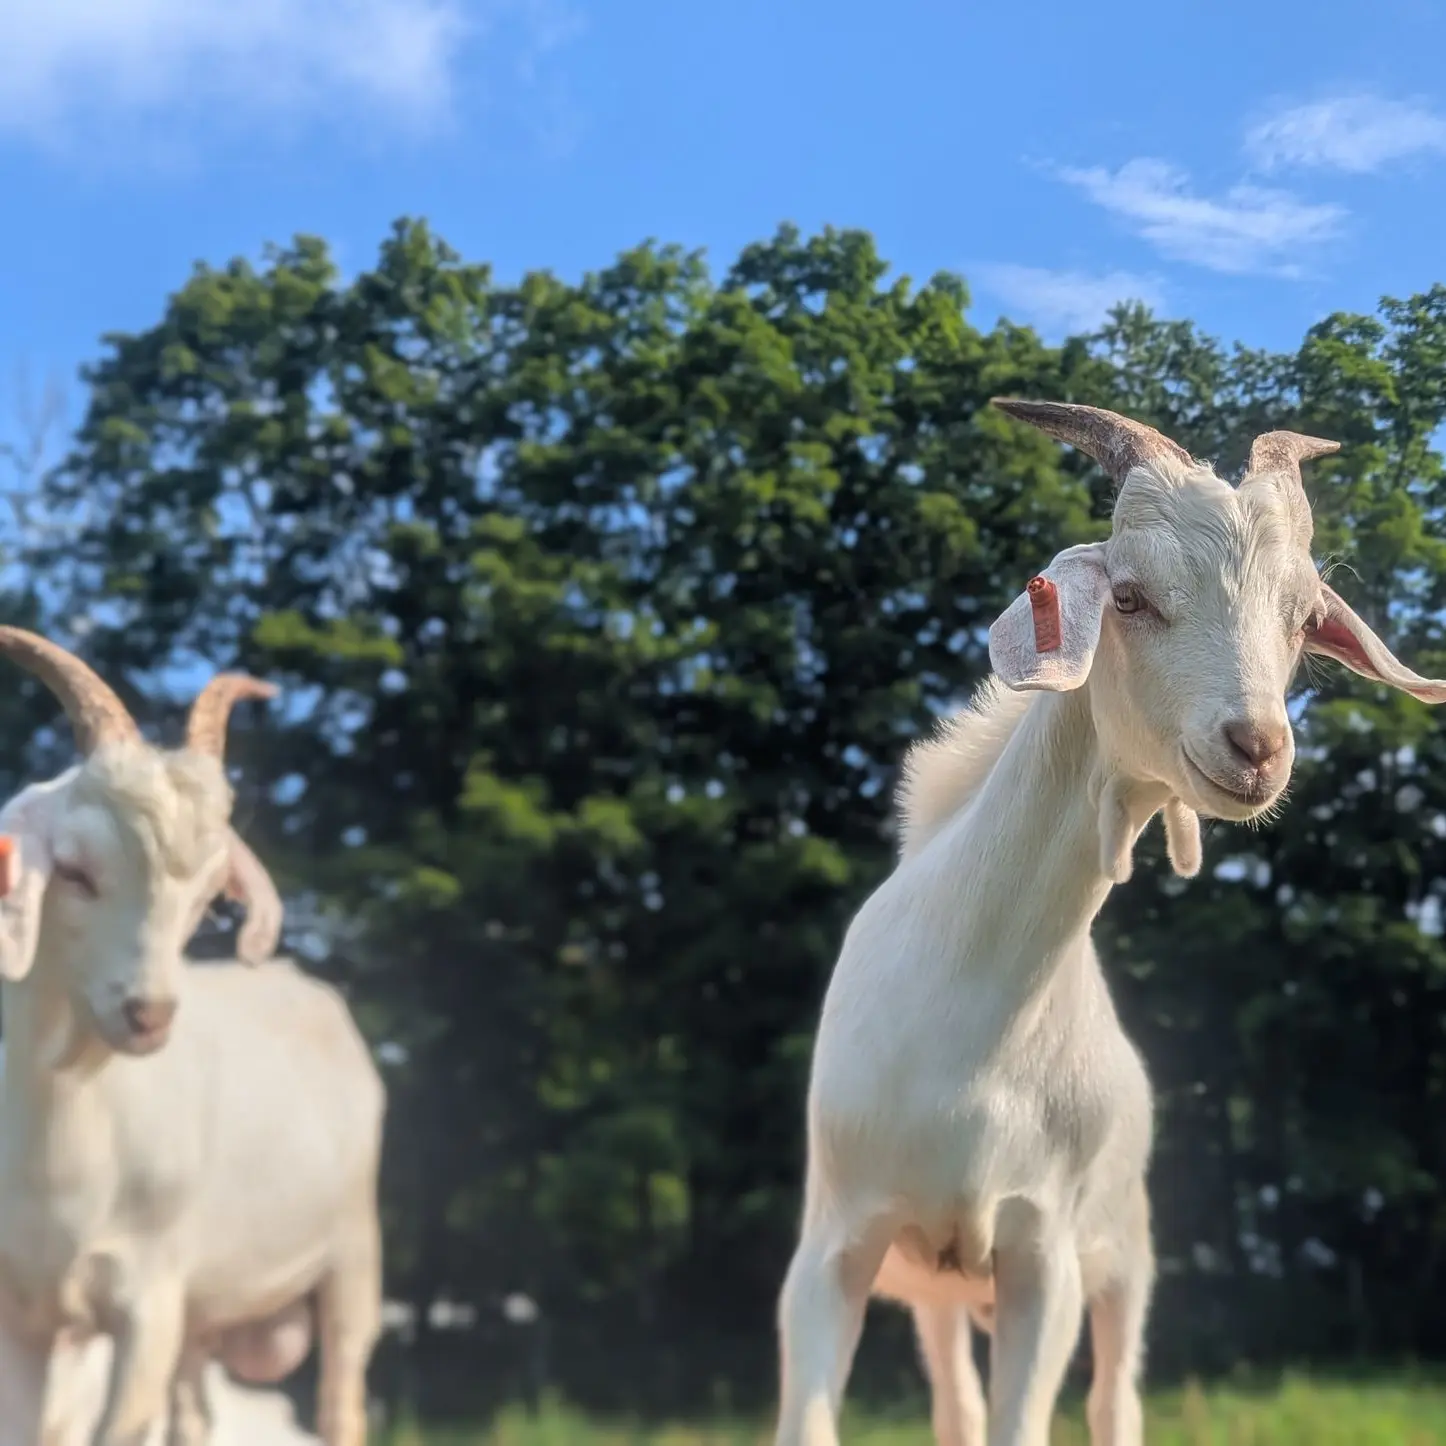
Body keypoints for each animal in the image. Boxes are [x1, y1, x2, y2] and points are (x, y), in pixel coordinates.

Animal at [0, 632, 384, 1446]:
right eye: (74, 871)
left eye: (211, 902)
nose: (149, 1015)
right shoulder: (21, 1311)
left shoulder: (149, 1297)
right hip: (204, 1318)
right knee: (193, 1416)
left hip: (353, 1257)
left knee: (342, 1394)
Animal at [772, 402, 1446, 1446]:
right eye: (1127, 596)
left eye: (1304, 619)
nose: (1256, 748)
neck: (967, 1017)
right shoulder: (835, 1243)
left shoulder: (1043, 1250)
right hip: (936, 1289)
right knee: (956, 1404)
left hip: (1126, 1258)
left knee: (1111, 1398)